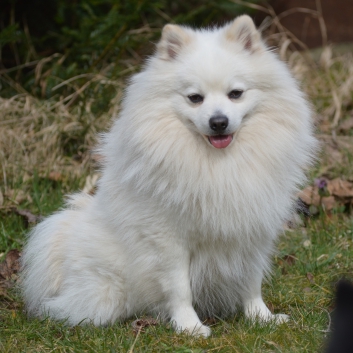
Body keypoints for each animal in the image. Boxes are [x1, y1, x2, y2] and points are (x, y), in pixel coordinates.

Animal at [23, 15, 318, 336]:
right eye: (195, 98)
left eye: (236, 94)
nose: (218, 121)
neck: (218, 163)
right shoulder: (168, 239)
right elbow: (180, 288)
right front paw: (190, 327)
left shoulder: (252, 230)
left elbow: (252, 281)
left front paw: (261, 317)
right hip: (108, 291)